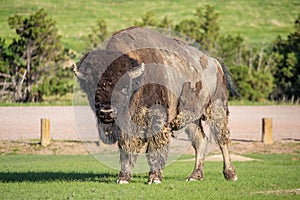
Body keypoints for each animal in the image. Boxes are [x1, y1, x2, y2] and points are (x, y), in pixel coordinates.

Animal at [74, 27, 239, 184]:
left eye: (124, 87)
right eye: (91, 86)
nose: (107, 112)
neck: (139, 80)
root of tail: (215, 62)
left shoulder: (156, 119)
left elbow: (154, 146)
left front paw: (154, 178)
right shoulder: (126, 126)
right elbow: (126, 147)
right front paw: (123, 177)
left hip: (217, 108)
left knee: (222, 139)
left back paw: (230, 174)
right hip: (191, 118)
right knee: (200, 140)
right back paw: (195, 176)